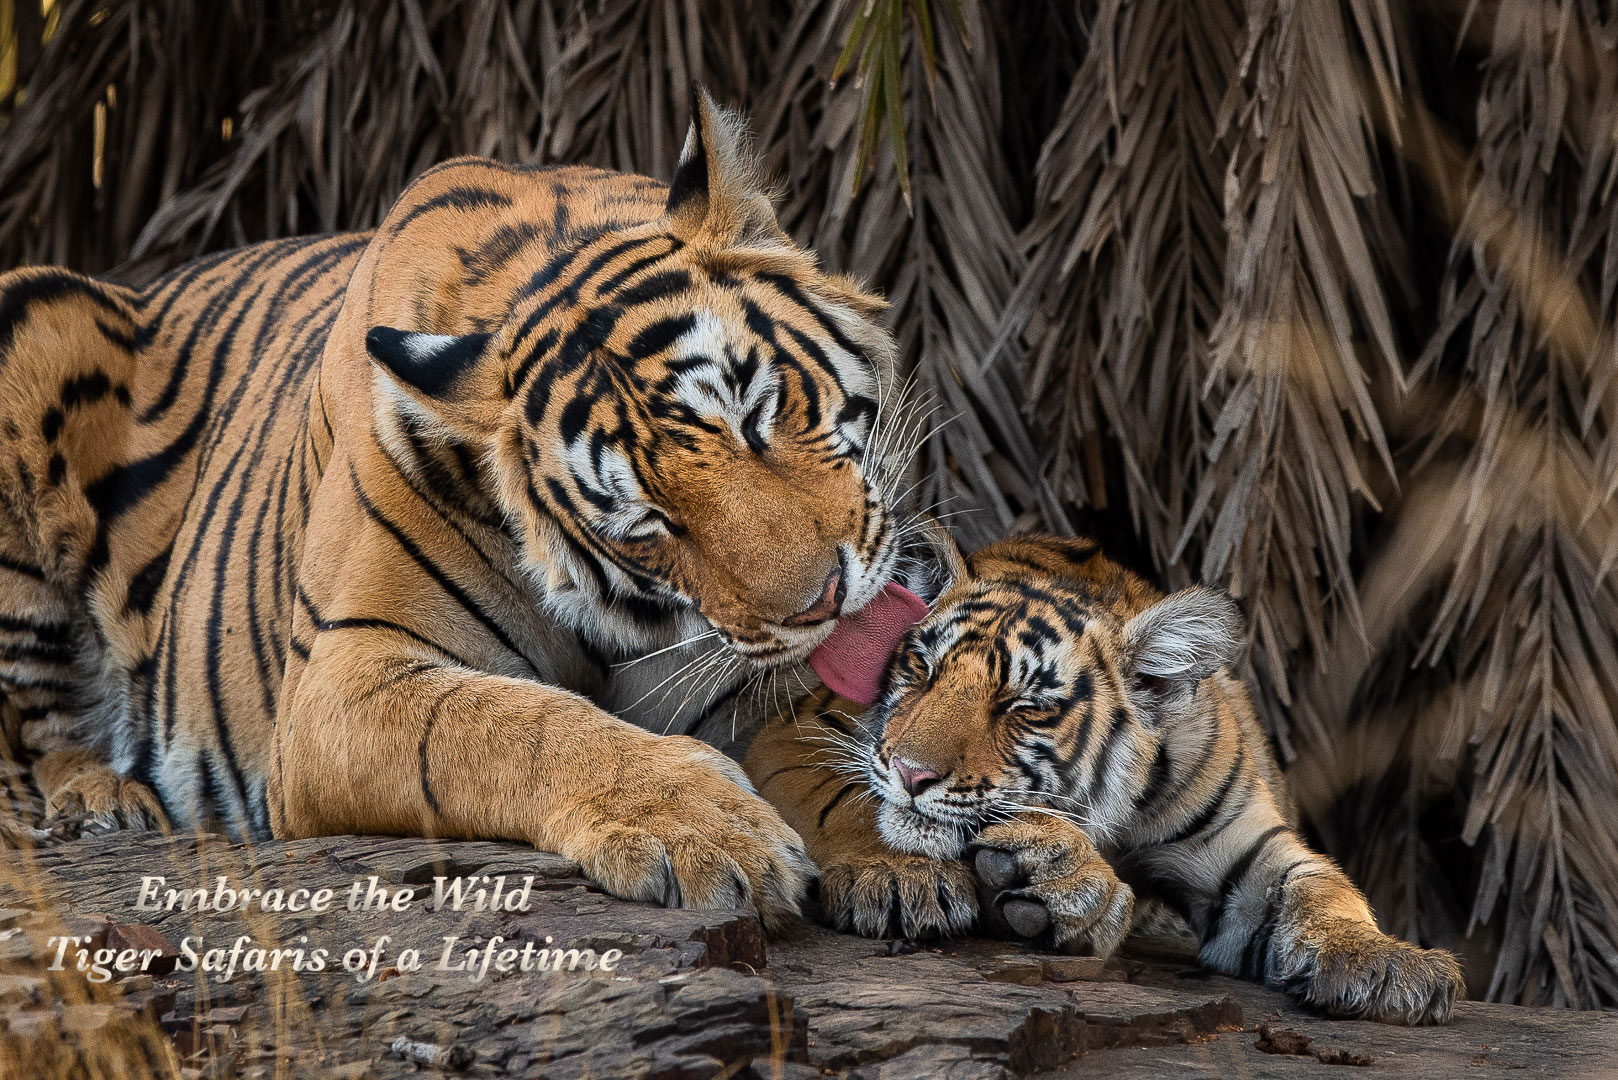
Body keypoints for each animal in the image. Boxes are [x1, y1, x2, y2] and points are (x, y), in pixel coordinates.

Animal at [0, 92, 922, 931]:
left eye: (753, 414)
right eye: (650, 524)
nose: (821, 605)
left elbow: (824, 747)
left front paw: (897, 859)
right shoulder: (341, 678)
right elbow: (515, 727)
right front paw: (706, 828)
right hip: (33, 316)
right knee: (35, 741)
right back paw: (105, 798)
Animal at [745, 533, 1467, 1024]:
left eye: (1026, 705)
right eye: (921, 669)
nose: (909, 770)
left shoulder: (1248, 847)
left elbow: (1325, 891)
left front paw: (1388, 962)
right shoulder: (798, 731)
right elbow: (844, 801)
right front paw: (900, 876)